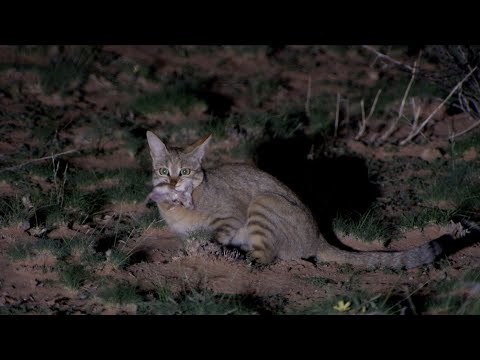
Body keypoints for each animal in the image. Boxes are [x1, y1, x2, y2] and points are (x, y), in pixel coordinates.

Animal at [146, 131, 476, 268]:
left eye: (185, 171)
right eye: (163, 170)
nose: (173, 181)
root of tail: (319, 238)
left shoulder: (232, 216)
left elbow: (217, 234)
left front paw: (209, 251)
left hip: (264, 202)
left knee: (267, 257)